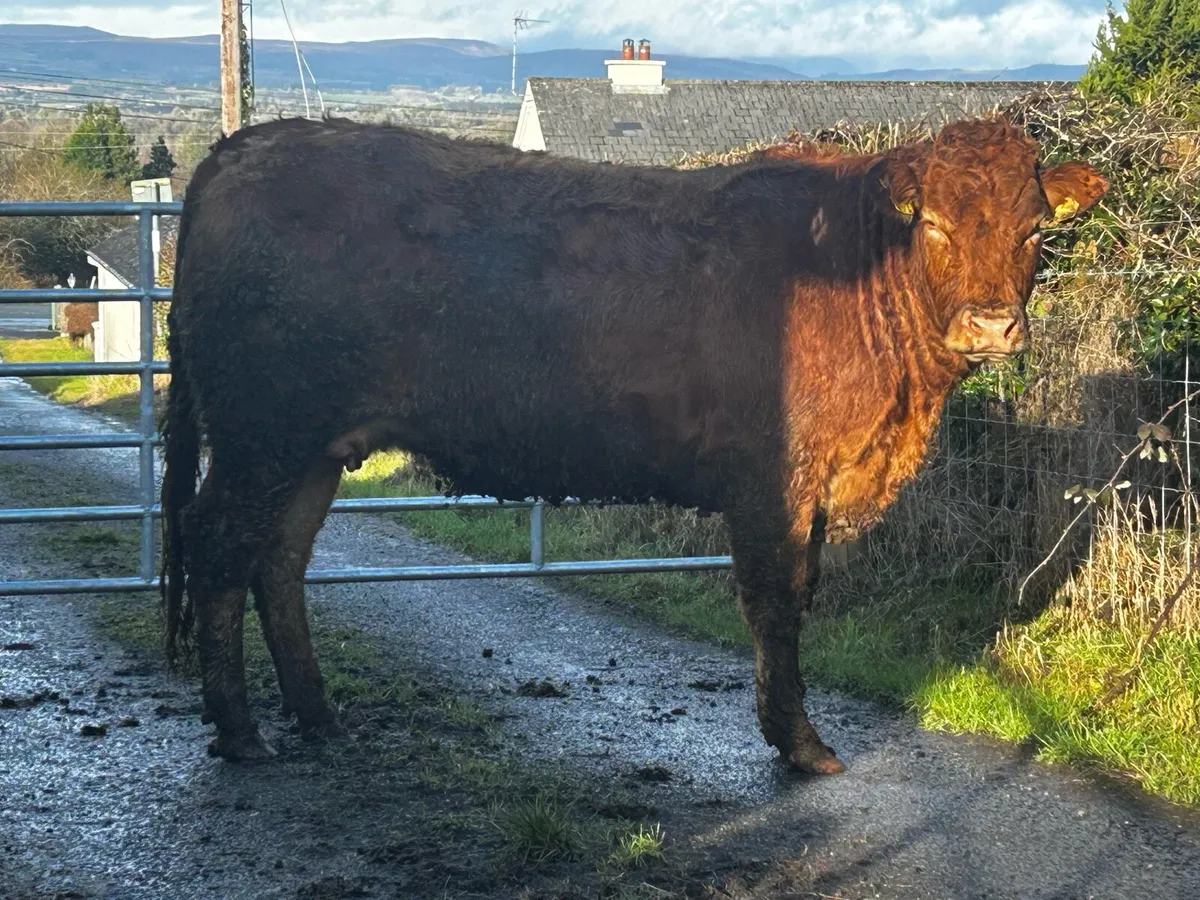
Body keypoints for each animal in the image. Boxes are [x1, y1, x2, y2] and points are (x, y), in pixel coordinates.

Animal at [160, 116, 1107, 772]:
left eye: (1035, 229)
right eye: (935, 224)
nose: (991, 323)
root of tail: (244, 146)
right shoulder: (774, 483)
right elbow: (776, 605)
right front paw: (800, 745)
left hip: (312, 451)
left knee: (278, 563)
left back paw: (318, 715)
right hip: (259, 436)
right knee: (218, 550)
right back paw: (241, 733)